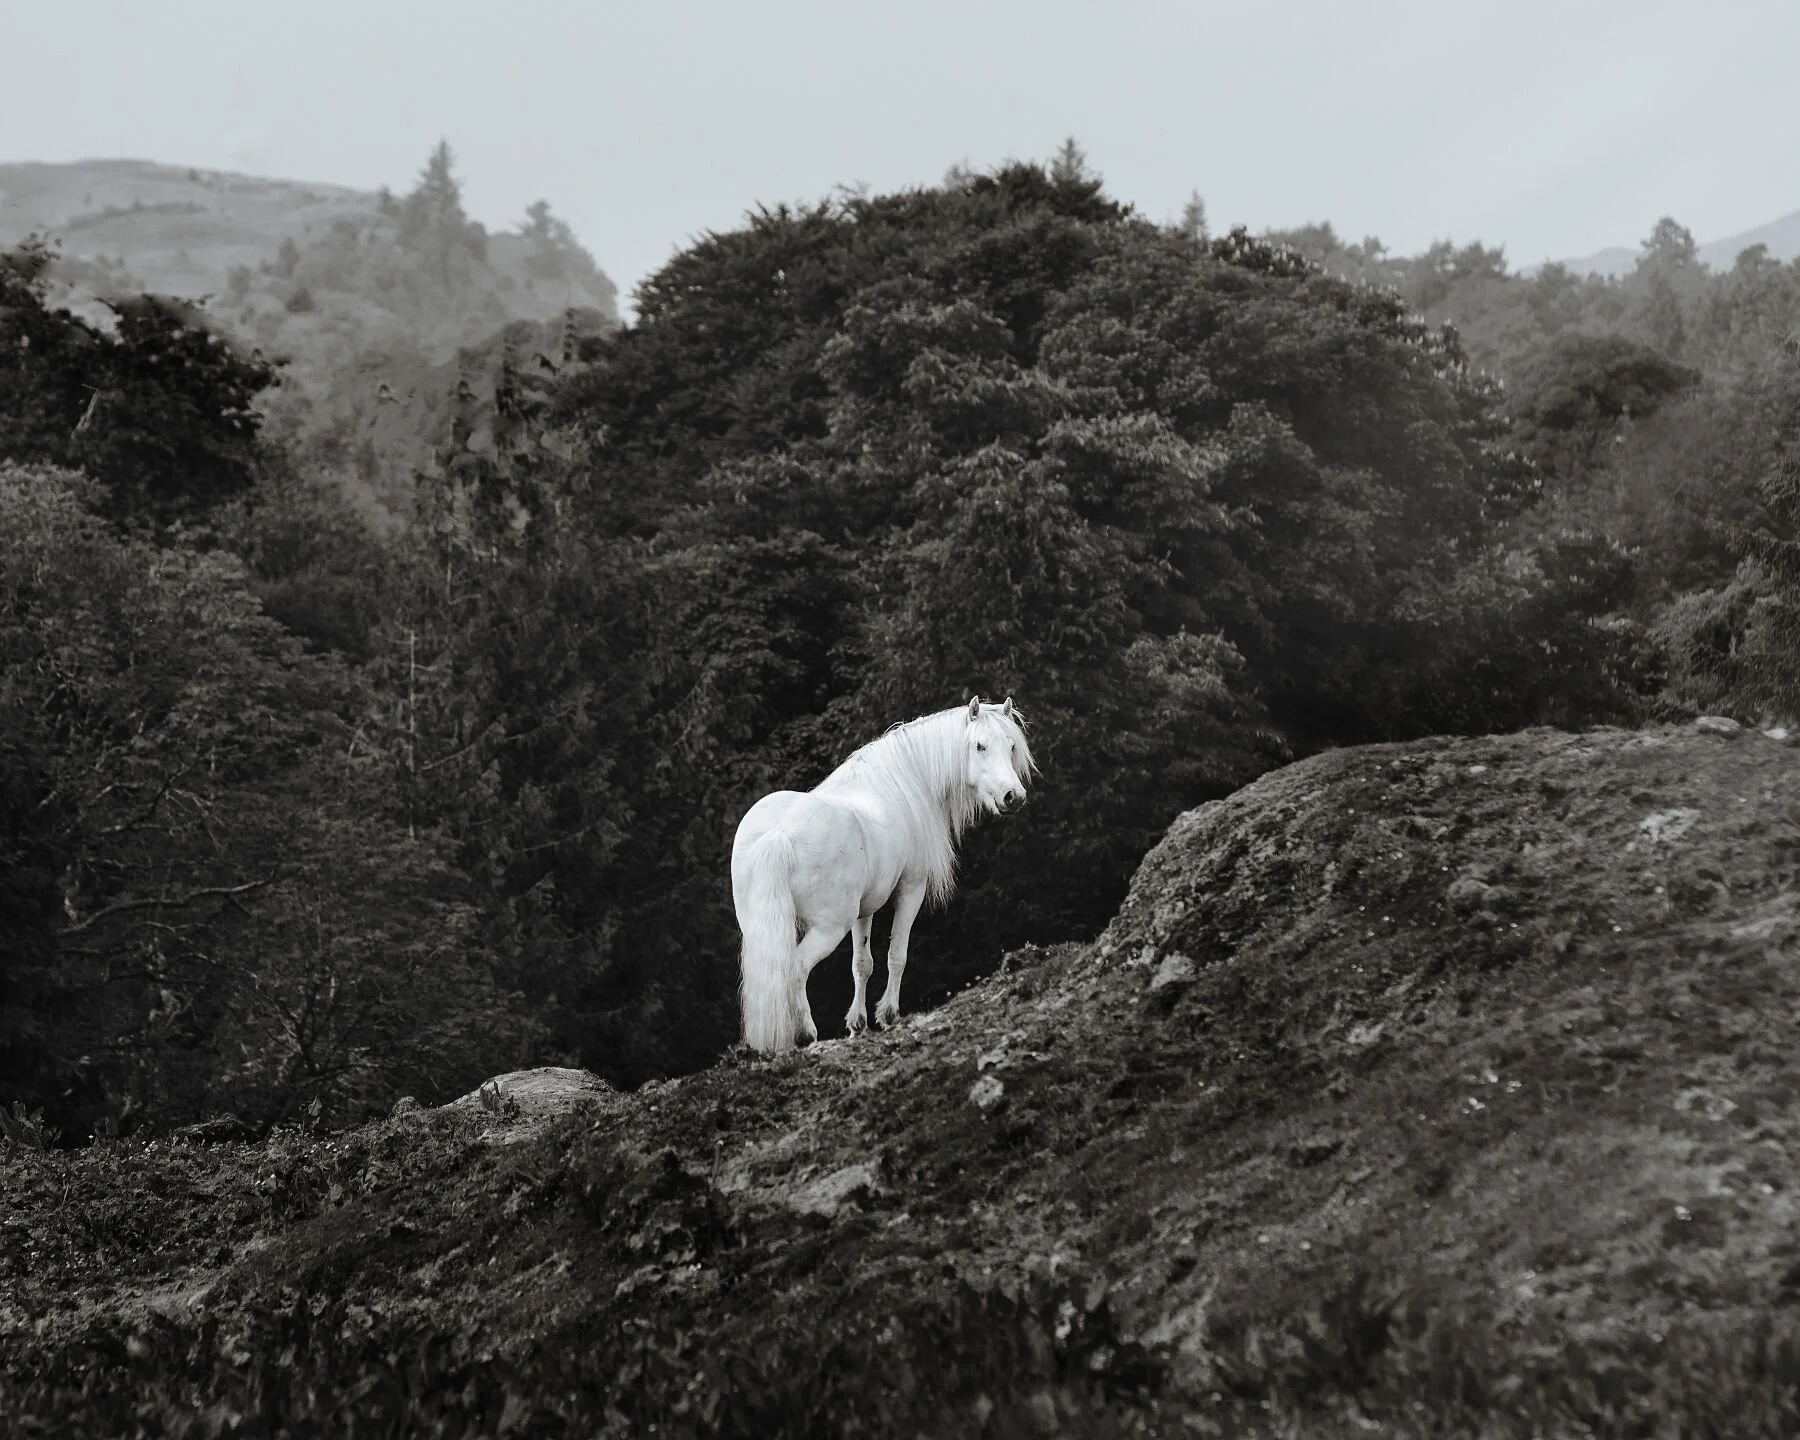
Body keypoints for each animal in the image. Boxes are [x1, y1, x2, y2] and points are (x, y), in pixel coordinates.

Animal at [731, 696, 1036, 1054]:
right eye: (980, 746)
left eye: (1011, 745)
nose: (1013, 797)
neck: (903, 782)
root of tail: (779, 834)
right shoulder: (911, 890)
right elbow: (896, 955)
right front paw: (888, 1014)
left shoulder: (865, 909)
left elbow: (862, 963)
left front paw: (858, 1024)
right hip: (828, 929)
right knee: (796, 968)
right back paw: (806, 1033)